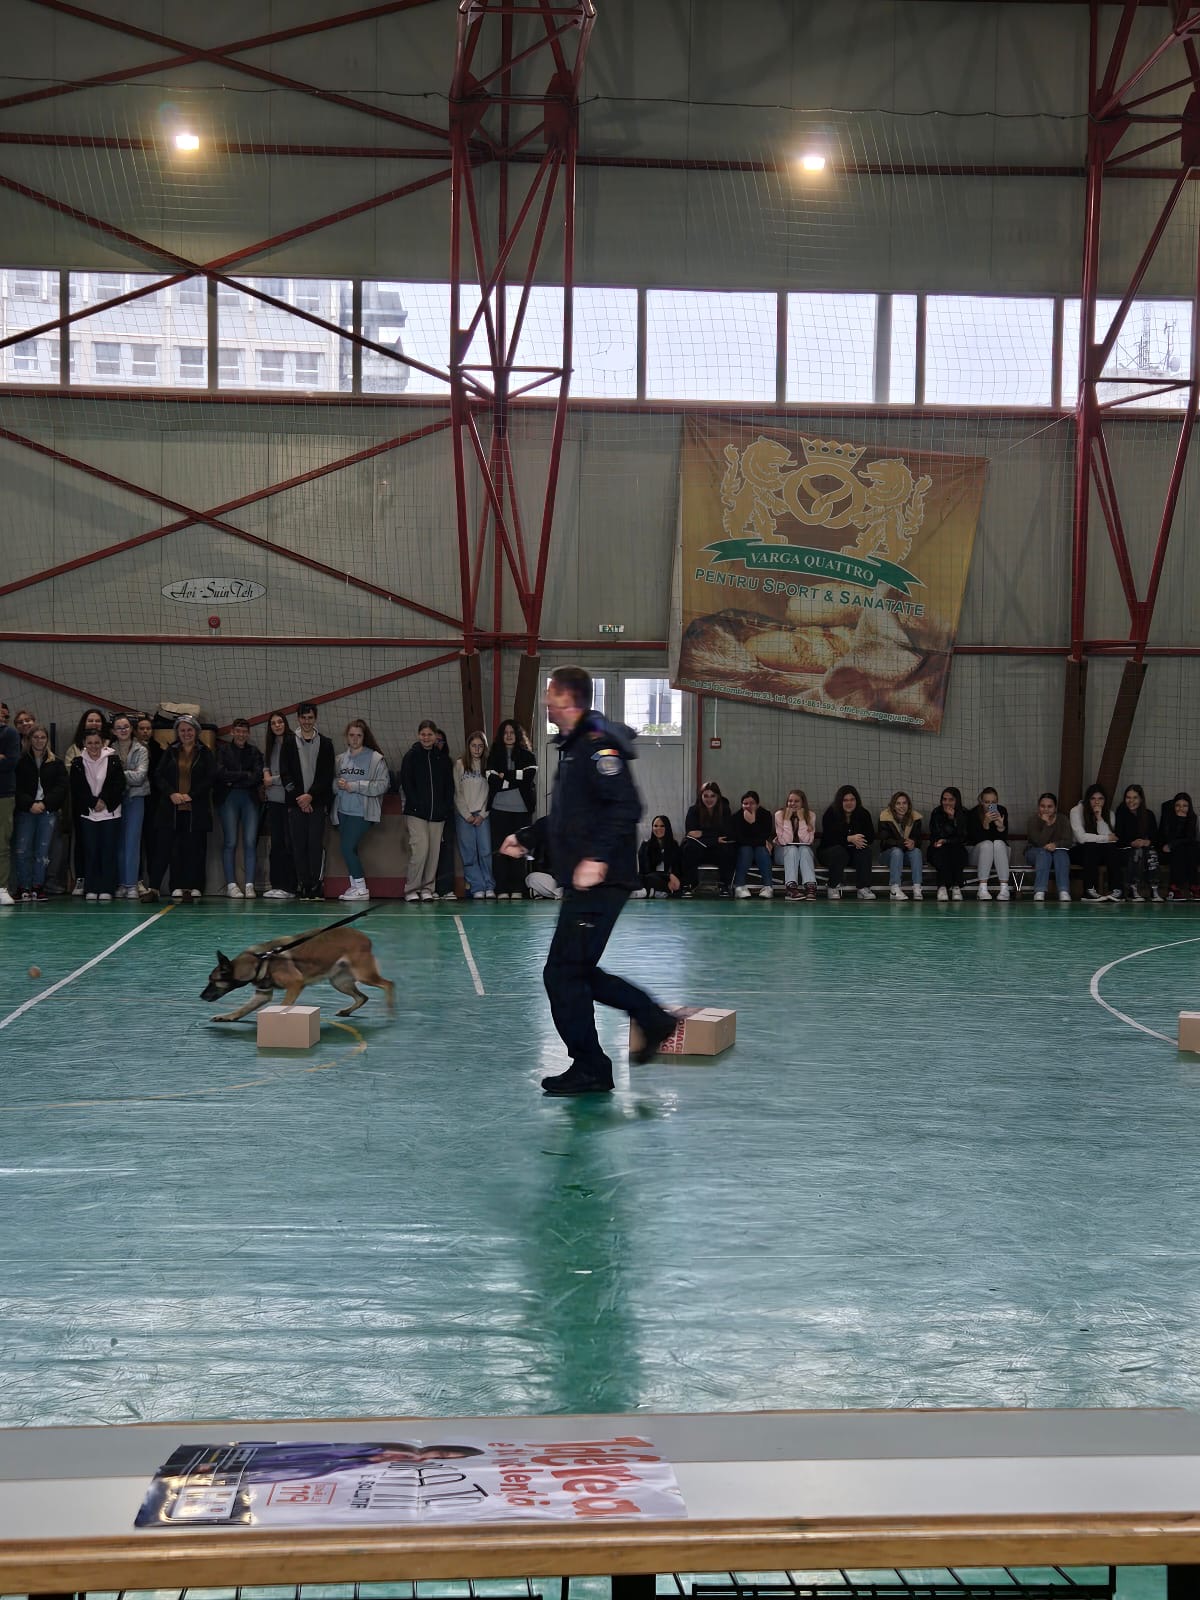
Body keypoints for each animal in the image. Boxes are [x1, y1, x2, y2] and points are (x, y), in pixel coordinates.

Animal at [201, 925, 395, 1022]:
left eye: (212, 980)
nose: (201, 997)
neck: (260, 961)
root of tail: (364, 937)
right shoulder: (262, 995)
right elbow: (243, 1008)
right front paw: (228, 1017)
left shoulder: (295, 984)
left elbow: (282, 1005)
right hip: (340, 982)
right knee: (363, 997)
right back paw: (347, 1012)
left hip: (364, 975)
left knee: (388, 984)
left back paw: (390, 1008)